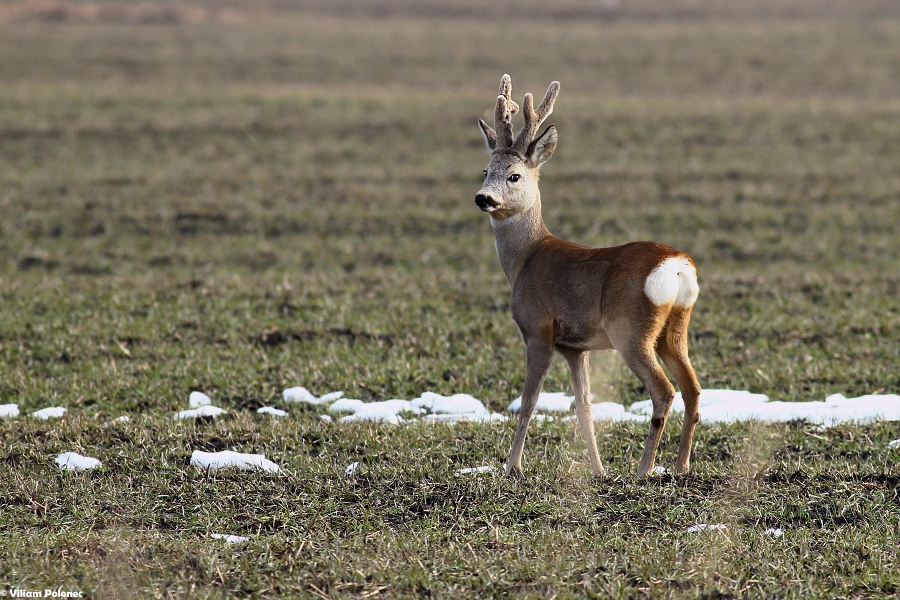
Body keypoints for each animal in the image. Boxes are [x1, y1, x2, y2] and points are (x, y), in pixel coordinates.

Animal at [474, 75, 700, 478]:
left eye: (514, 176)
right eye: (485, 171)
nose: (483, 198)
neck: (527, 258)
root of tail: (675, 263)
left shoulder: (538, 329)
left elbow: (529, 400)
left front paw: (513, 467)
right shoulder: (576, 347)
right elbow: (584, 407)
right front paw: (598, 470)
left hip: (631, 329)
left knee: (664, 390)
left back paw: (644, 469)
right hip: (674, 328)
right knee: (692, 388)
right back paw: (681, 465)